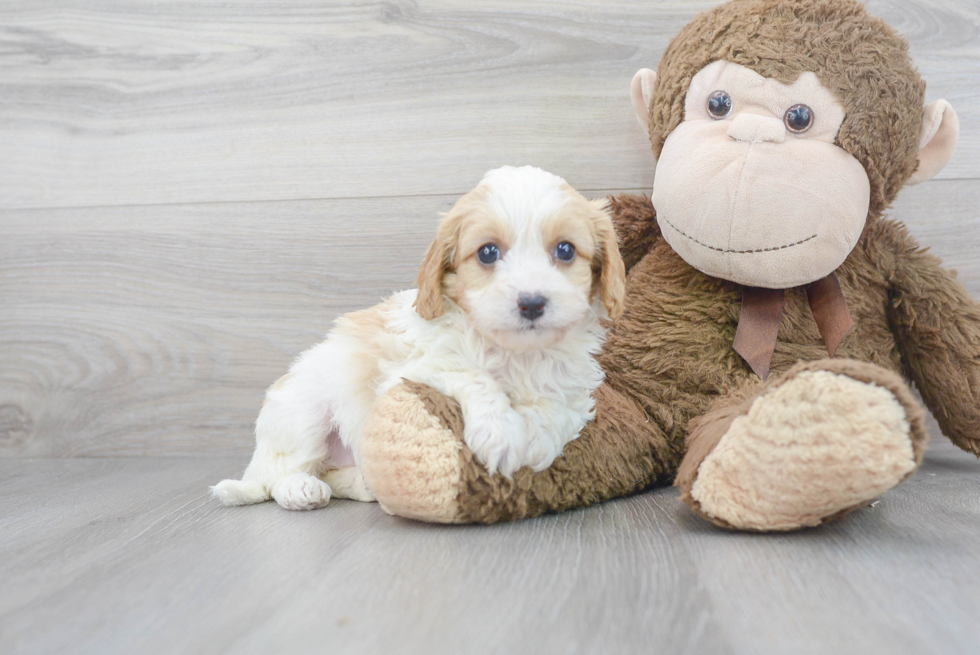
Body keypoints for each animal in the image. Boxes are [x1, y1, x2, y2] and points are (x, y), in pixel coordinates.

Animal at [214, 165, 628, 512]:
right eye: (488, 253)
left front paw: (538, 439)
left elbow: (558, 411)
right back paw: (301, 489)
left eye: (565, 250)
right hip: (303, 415)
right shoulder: (415, 370)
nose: (531, 303)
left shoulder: (574, 389)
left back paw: (363, 484)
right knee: (279, 477)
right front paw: (501, 433)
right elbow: (470, 373)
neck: (518, 354)